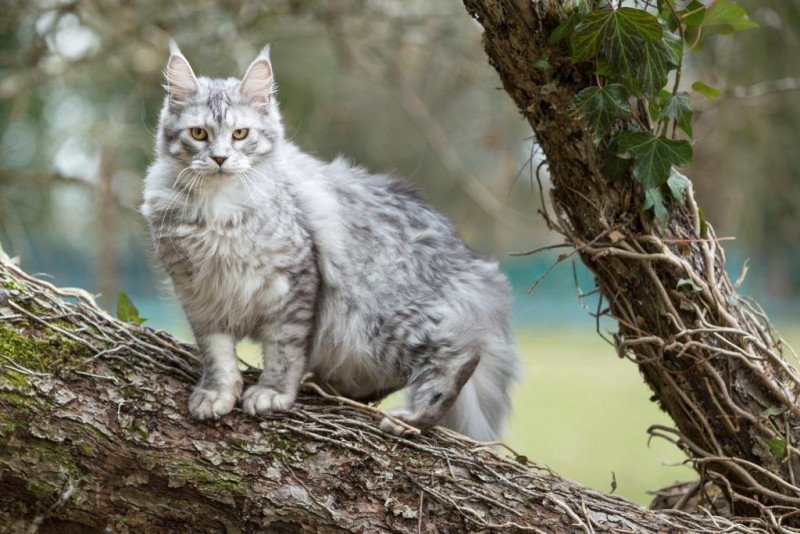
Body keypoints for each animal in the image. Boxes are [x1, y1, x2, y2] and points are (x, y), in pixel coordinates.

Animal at [141, 43, 520, 444]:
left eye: (240, 134)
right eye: (199, 133)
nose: (219, 158)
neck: (218, 210)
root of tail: (470, 260)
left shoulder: (295, 283)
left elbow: (284, 350)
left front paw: (273, 392)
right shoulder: (200, 296)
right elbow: (218, 355)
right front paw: (216, 394)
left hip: (379, 318)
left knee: (461, 353)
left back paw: (410, 418)